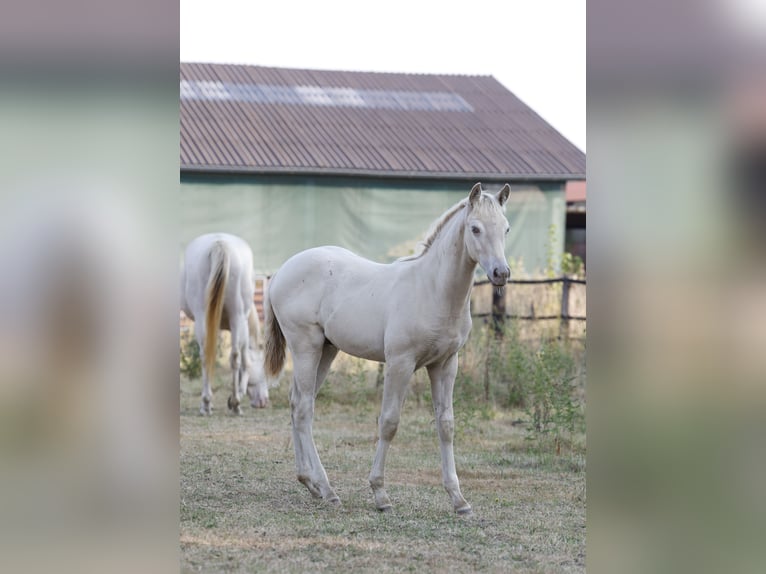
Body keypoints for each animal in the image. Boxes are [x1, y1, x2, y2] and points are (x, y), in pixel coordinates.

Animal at [181, 233, 270, 415]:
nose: (264, 401)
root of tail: (220, 244)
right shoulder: (243, 328)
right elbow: (246, 362)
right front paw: (237, 395)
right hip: (236, 317)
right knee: (232, 357)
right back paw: (228, 404)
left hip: (207, 316)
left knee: (209, 355)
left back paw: (208, 404)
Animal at [264, 182, 511, 515]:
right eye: (475, 228)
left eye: (506, 228)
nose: (501, 273)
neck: (432, 290)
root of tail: (281, 271)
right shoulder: (400, 363)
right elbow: (389, 423)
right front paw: (380, 494)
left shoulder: (446, 364)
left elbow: (446, 425)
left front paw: (458, 499)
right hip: (306, 347)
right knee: (304, 409)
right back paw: (327, 489)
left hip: (327, 350)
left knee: (297, 403)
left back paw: (310, 483)